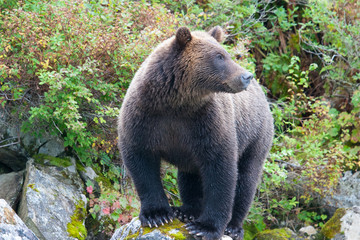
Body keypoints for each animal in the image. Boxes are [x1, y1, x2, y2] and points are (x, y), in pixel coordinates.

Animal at [118, 26, 272, 240]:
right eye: (219, 56)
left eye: (225, 53)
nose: (246, 76)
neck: (176, 103)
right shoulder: (144, 117)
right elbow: (141, 162)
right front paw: (157, 214)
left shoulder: (208, 122)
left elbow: (221, 170)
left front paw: (206, 227)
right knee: (189, 176)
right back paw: (186, 210)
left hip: (255, 136)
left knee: (246, 179)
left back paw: (233, 226)